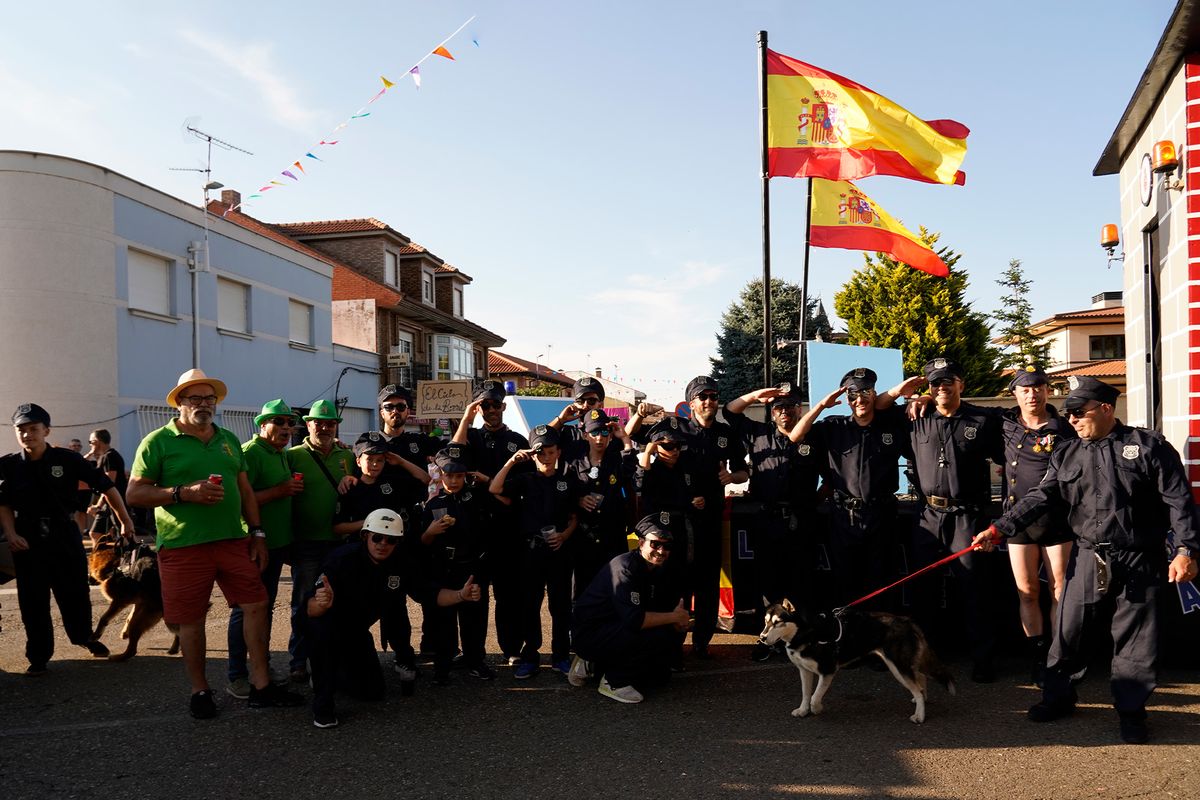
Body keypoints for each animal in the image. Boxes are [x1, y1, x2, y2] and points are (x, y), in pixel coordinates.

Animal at [87, 534, 178, 662]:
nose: (88, 580)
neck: (117, 562)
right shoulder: (138, 602)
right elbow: (129, 617)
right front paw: (125, 632)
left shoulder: (119, 601)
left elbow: (104, 618)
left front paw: (96, 635)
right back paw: (174, 648)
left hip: (143, 618)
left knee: (132, 650)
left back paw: (119, 657)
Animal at [758, 599, 955, 724]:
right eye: (766, 621)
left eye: (778, 622)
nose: (762, 637)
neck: (806, 632)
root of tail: (907, 621)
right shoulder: (804, 670)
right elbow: (806, 694)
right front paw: (803, 710)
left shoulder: (828, 670)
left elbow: (814, 697)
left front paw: (817, 708)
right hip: (903, 665)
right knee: (921, 679)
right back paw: (921, 700)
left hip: (898, 667)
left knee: (918, 685)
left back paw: (920, 715)